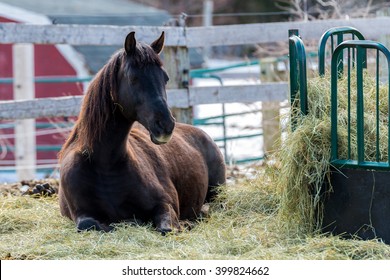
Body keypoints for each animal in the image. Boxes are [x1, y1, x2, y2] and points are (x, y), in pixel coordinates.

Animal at [59, 31, 227, 234]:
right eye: (133, 78)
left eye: (165, 78)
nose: (166, 125)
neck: (105, 164)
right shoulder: (81, 213)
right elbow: (88, 224)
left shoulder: (165, 204)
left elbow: (166, 228)